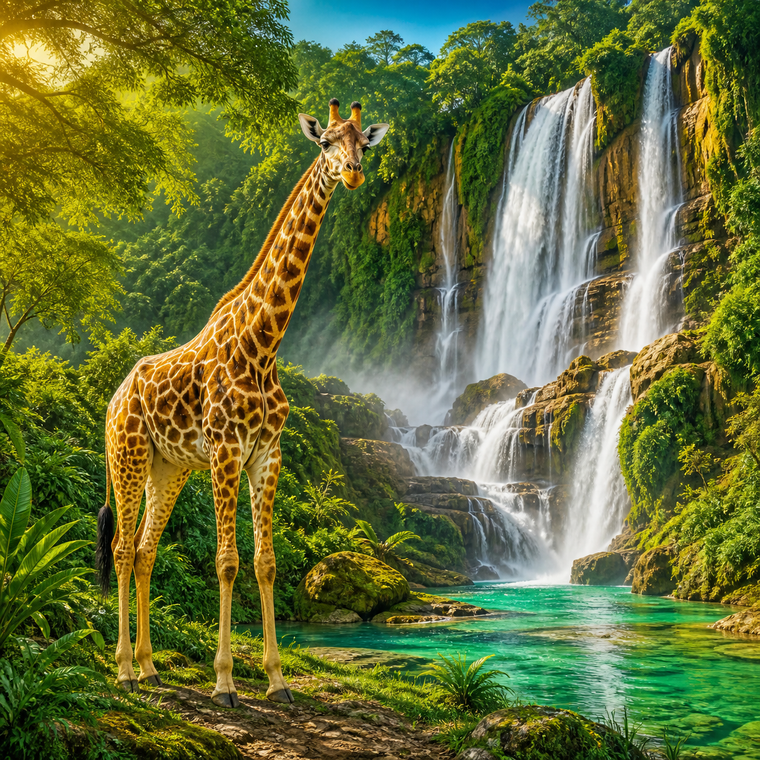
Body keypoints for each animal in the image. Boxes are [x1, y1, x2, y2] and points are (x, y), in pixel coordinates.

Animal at [95, 99, 389, 706]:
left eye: (364, 144)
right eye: (325, 142)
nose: (352, 174)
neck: (264, 342)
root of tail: (110, 401)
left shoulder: (265, 454)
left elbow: (266, 564)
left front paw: (277, 682)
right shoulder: (226, 450)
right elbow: (227, 562)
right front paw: (225, 681)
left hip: (167, 468)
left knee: (144, 551)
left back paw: (150, 667)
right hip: (127, 457)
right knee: (120, 550)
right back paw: (124, 670)